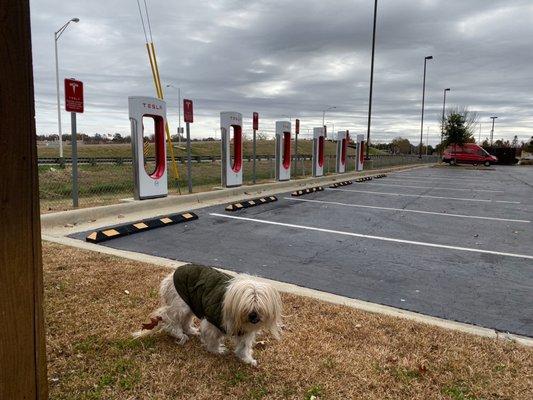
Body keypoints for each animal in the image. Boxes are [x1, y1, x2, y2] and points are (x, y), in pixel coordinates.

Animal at [133, 266, 282, 366]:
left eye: (260, 306)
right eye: (247, 305)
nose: (253, 317)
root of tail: (170, 277)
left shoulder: (245, 330)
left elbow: (244, 346)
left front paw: (246, 358)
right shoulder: (212, 323)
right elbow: (212, 339)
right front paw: (216, 350)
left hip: (190, 302)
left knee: (185, 320)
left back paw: (190, 330)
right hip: (180, 305)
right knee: (170, 318)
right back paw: (178, 333)